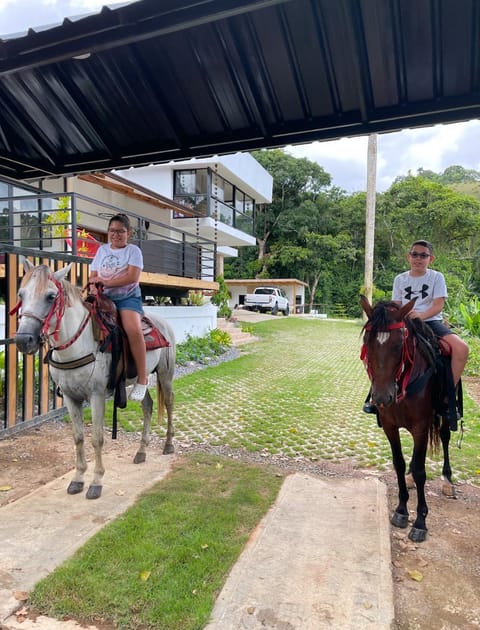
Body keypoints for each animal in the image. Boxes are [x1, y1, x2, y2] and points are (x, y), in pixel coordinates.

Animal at [13, 260, 176, 498]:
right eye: (21, 294)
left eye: (51, 296)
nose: (24, 340)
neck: (78, 344)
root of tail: (163, 322)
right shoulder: (70, 397)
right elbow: (78, 437)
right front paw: (78, 478)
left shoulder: (96, 396)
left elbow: (97, 438)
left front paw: (96, 482)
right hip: (141, 379)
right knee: (148, 405)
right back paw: (141, 451)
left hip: (165, 374)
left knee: (170, 403)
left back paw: (168, 445)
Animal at [360, 296, 454, 544]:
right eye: (367, 342)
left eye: (398, 345)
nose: (382, 397)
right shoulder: (390, 426)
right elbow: (399, 464)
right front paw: (402, 510)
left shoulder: (421, 428)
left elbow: (421, 471)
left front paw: (420, 522)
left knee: (445, 437)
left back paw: (448, 479)